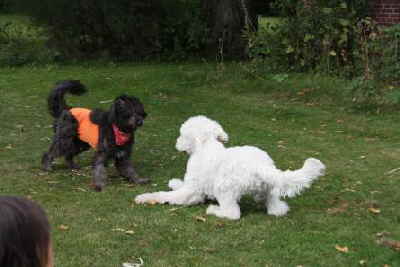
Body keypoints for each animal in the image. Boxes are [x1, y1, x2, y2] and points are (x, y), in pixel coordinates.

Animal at [134, 115, 324, 220]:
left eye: (182, 135)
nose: (177, 143)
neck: (207, 145)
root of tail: (260, 166)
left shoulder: (191, 192)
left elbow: (165, 195)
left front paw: (145, 198)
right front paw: (174, 182)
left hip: (224, 188)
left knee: (233, 213)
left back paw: (215, 210)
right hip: (268, 189)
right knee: (277, 209)